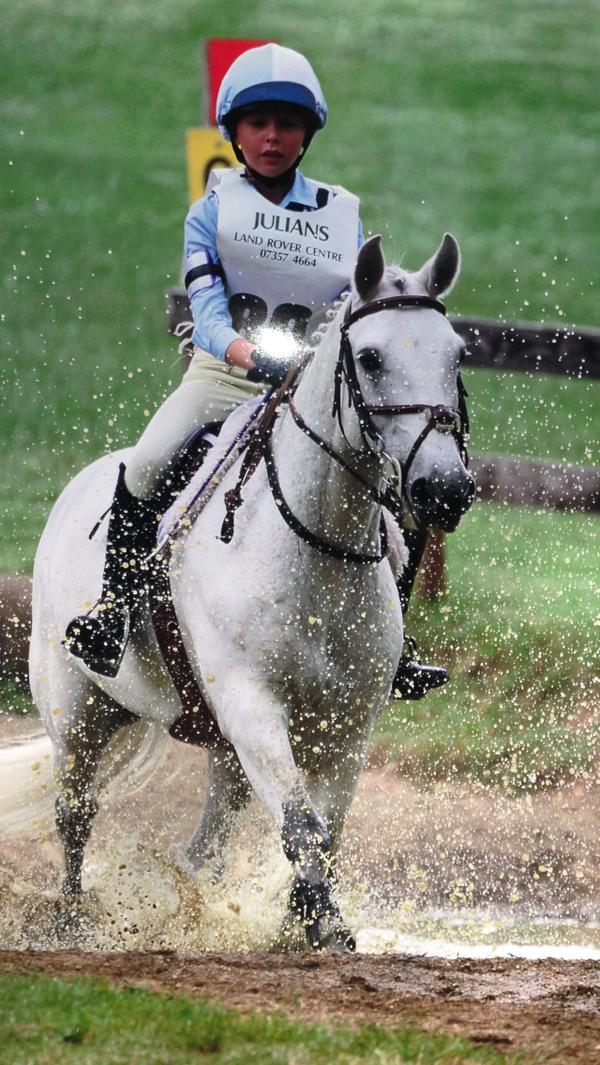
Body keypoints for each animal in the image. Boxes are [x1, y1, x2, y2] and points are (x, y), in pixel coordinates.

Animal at [29, 234, 475, 951]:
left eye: (456, 352)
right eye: (371, 358)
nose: (445, 489)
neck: (314, 544)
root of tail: (74, 490)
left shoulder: (347, 724)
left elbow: (329, 829)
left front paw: (300, 922)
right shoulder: (252, 704)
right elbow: (301, 824)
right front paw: (324, 928)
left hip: (222, 749)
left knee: (202, 848)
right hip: (74, 708)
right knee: (76, 810)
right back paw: (71, 922)